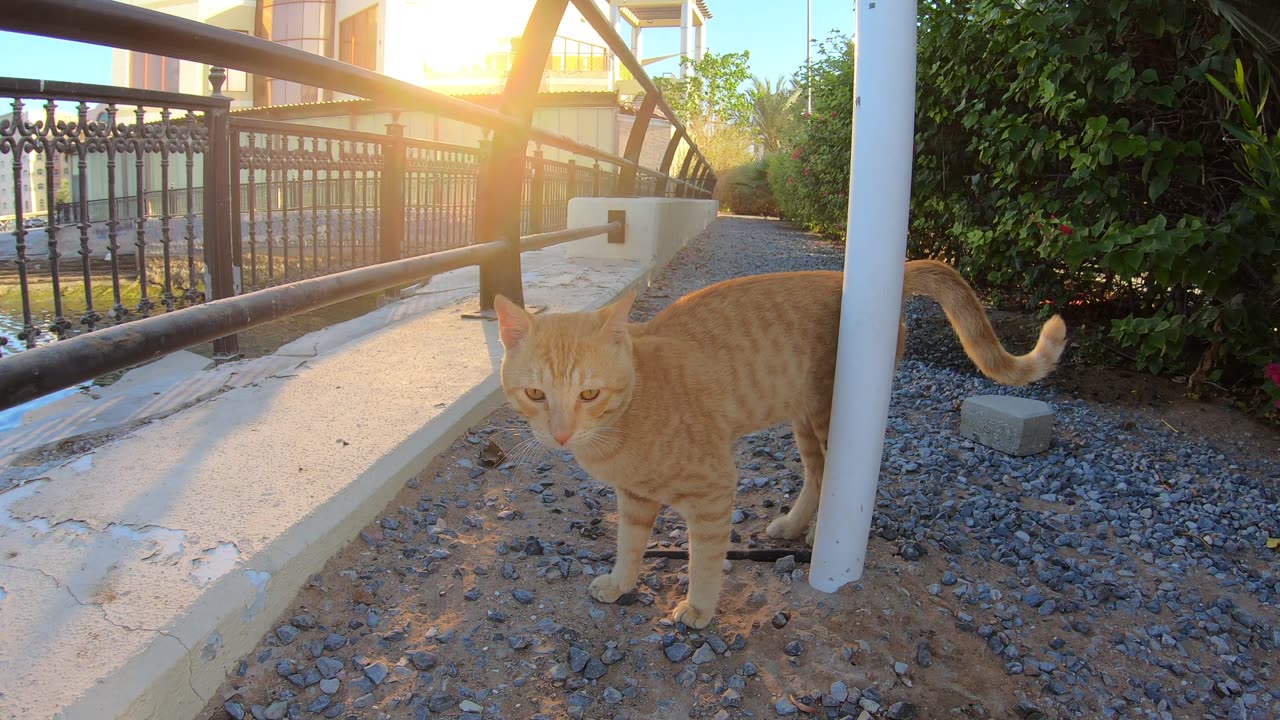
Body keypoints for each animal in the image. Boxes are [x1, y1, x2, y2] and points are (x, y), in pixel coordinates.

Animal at [494, 257, 1064, 622]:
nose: (561, 433)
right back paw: (793, 525)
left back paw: (817, 535)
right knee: (815, 472)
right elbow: (629, 546)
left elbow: (704, 559)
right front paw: (621, 583)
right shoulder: (634, 500)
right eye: (535, 394)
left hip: (833, 416)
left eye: (588, 393)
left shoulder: (714, 489)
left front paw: (699, 608)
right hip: (804, 420)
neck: (628, 416)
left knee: (839, 472)